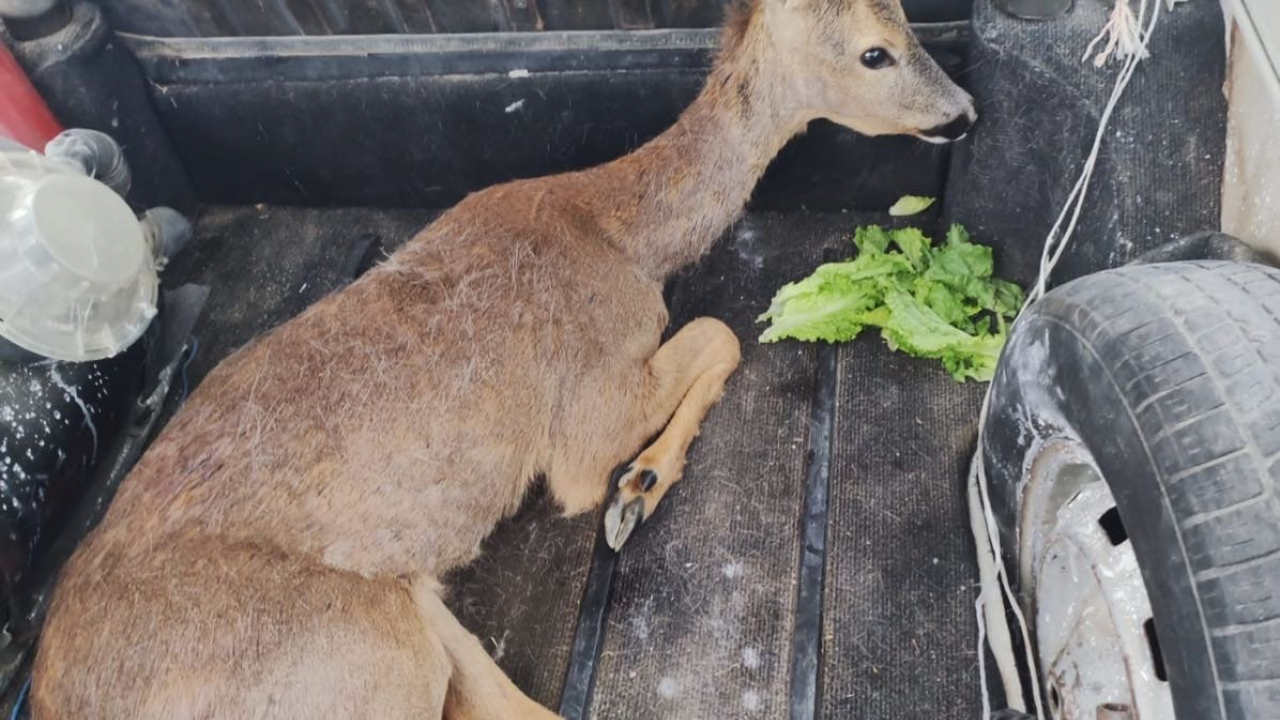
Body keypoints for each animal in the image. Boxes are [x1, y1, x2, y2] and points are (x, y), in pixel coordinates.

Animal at [30, 0, 972, 712]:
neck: (619, 234)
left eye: (904, 15)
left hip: (404, 609)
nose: (965, 112)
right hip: (356, 649)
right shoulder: (583, 414)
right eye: (876, 51)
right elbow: (719, 334)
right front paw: (635, 489)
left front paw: (641, 487)